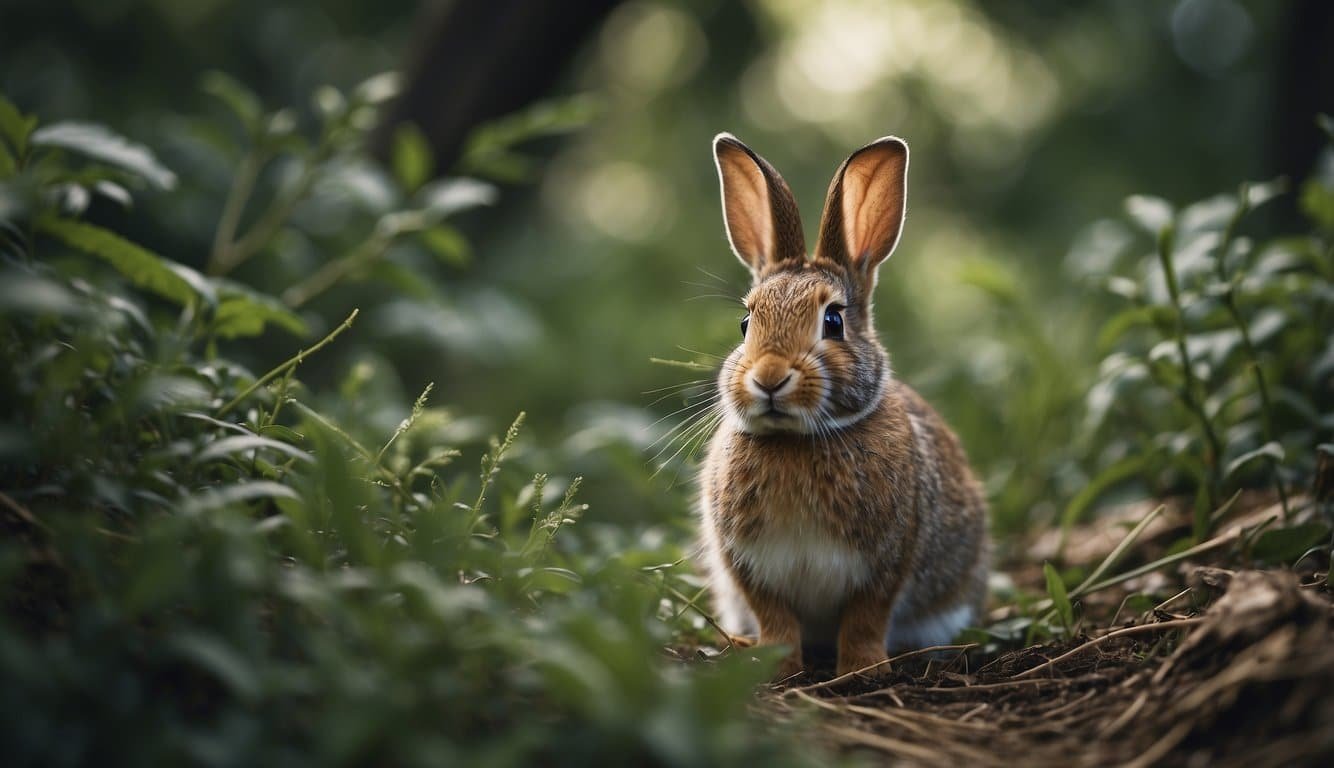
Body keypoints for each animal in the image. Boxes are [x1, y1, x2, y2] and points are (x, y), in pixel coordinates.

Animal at [699, 132, 992, 677]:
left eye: (833, 321)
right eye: (746, 325)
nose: (769, 378)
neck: (796, 441)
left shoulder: (888, 562)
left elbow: (865, 617)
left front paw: (863, 669)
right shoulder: (748, 567)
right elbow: (775, 621)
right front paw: (778, 667)